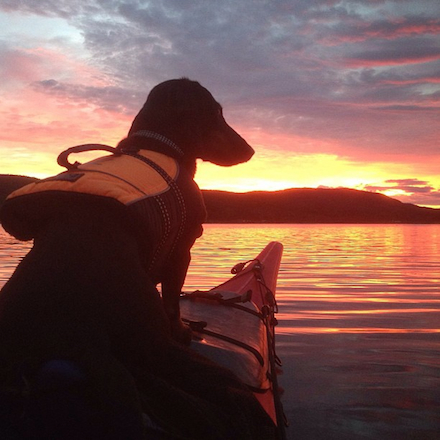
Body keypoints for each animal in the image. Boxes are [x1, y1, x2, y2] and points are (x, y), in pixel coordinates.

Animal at [0, 80, 276, 440]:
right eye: (216, 112)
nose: (251, 151)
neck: (160, 146)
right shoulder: (181, 251)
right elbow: (172, 301)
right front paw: (183, 329)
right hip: (145, 344)